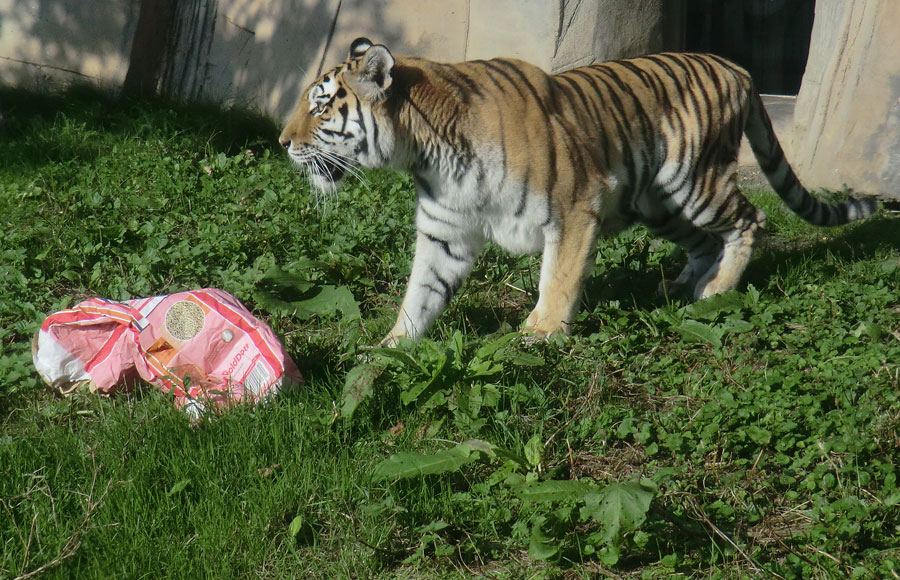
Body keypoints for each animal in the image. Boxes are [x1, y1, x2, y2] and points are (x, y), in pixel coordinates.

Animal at [280, 38, 880, 346]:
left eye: (321, 106)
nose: (283, 142)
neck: (426, 153)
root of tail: (738, 67)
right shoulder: (444, 232)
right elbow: (420, 294)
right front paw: (390, 350)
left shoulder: (573, 207)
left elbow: (560, 276)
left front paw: (542, 333)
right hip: (659, 201)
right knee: (704, 241)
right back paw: (680, 286)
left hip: (694, 182)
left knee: (750, 221)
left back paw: (716, 292)